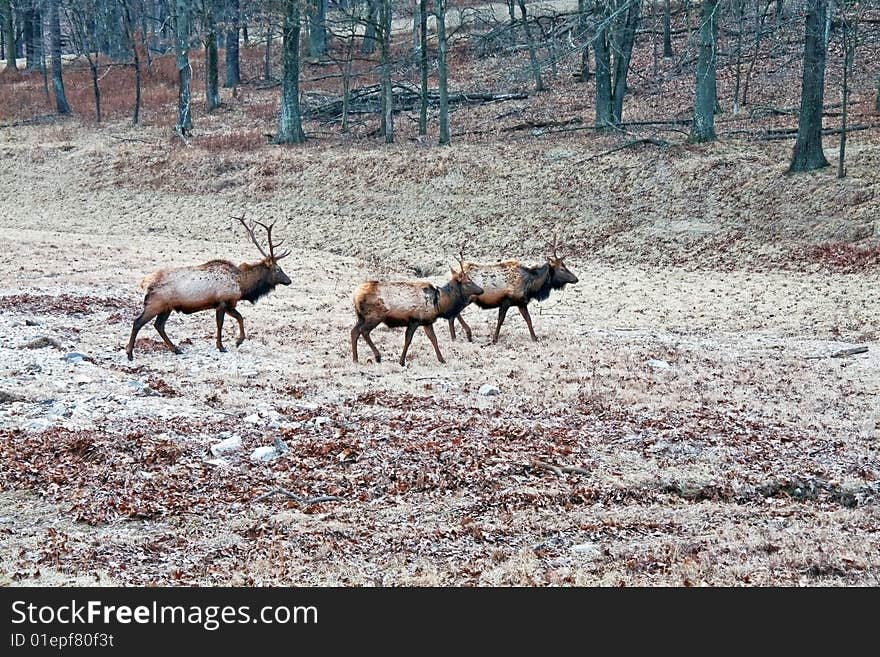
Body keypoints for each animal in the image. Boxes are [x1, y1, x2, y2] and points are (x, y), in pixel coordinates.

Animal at [124, 215, 292, 358]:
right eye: (278, 269)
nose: (289, 280)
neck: (242, 286)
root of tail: (146, 282)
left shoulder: (229, 303)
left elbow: (240, 317)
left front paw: (238, 341)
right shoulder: (223, 302)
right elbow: (221, 324)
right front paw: (223, 346)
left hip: (166, 307)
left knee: (159, 325)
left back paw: (176, 349)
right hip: (155, 304)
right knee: (138, 322)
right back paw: (130, 353)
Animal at [350, 252, 484, 364]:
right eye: (468, 282)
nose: (481, 290)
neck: (439, 305)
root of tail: (356, 295)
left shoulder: (427, 321)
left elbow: (434, 339)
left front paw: (442, 359)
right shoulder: (414, 320)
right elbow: (408, 340)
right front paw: (402, 361)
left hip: (361, 316)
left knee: (354, 331)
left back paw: (355, 359)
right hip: (375, 315)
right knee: (364, 331)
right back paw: (377, 356)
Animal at [446, 233, 576, 344]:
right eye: (562, 268)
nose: (576, 279)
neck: (530, 286)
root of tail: (453, 273)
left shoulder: (521, 302)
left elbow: (528, 319)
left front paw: (534, 338)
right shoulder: (506, 300)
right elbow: (501, 320)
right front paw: (494, 339)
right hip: (468, 297)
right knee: (454, 312)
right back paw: (463, 335)